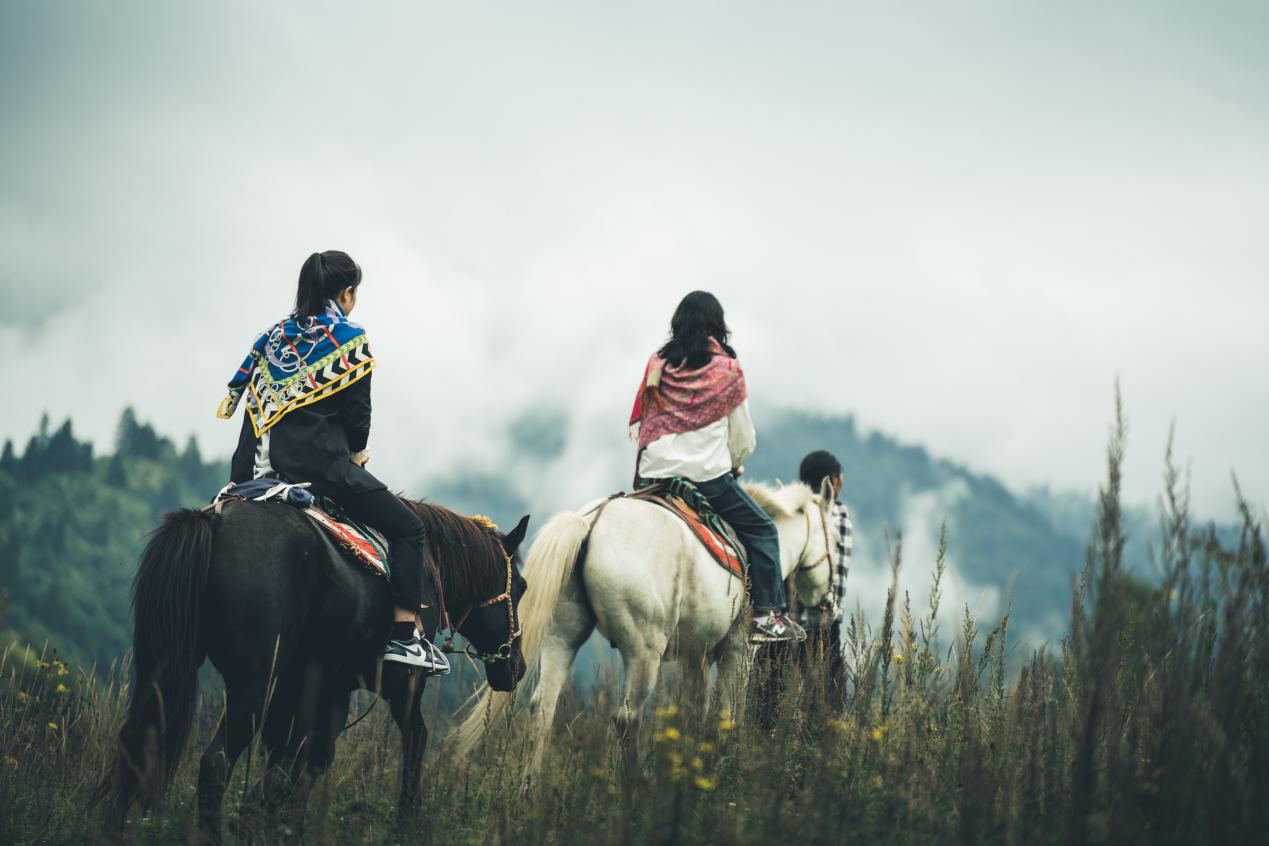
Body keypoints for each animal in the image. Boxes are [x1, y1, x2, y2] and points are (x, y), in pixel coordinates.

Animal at [100, 499, 530, 842]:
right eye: (522, 587)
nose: (518, 666)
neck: (431, 567)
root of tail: (214, 522)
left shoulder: (319, 686)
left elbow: (302, 756)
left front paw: (274, 821)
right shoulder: (399, 687)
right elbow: (410, 740)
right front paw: (406, 818)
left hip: (168, 670)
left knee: (138, 741)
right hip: (253, 685)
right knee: (215, 763)